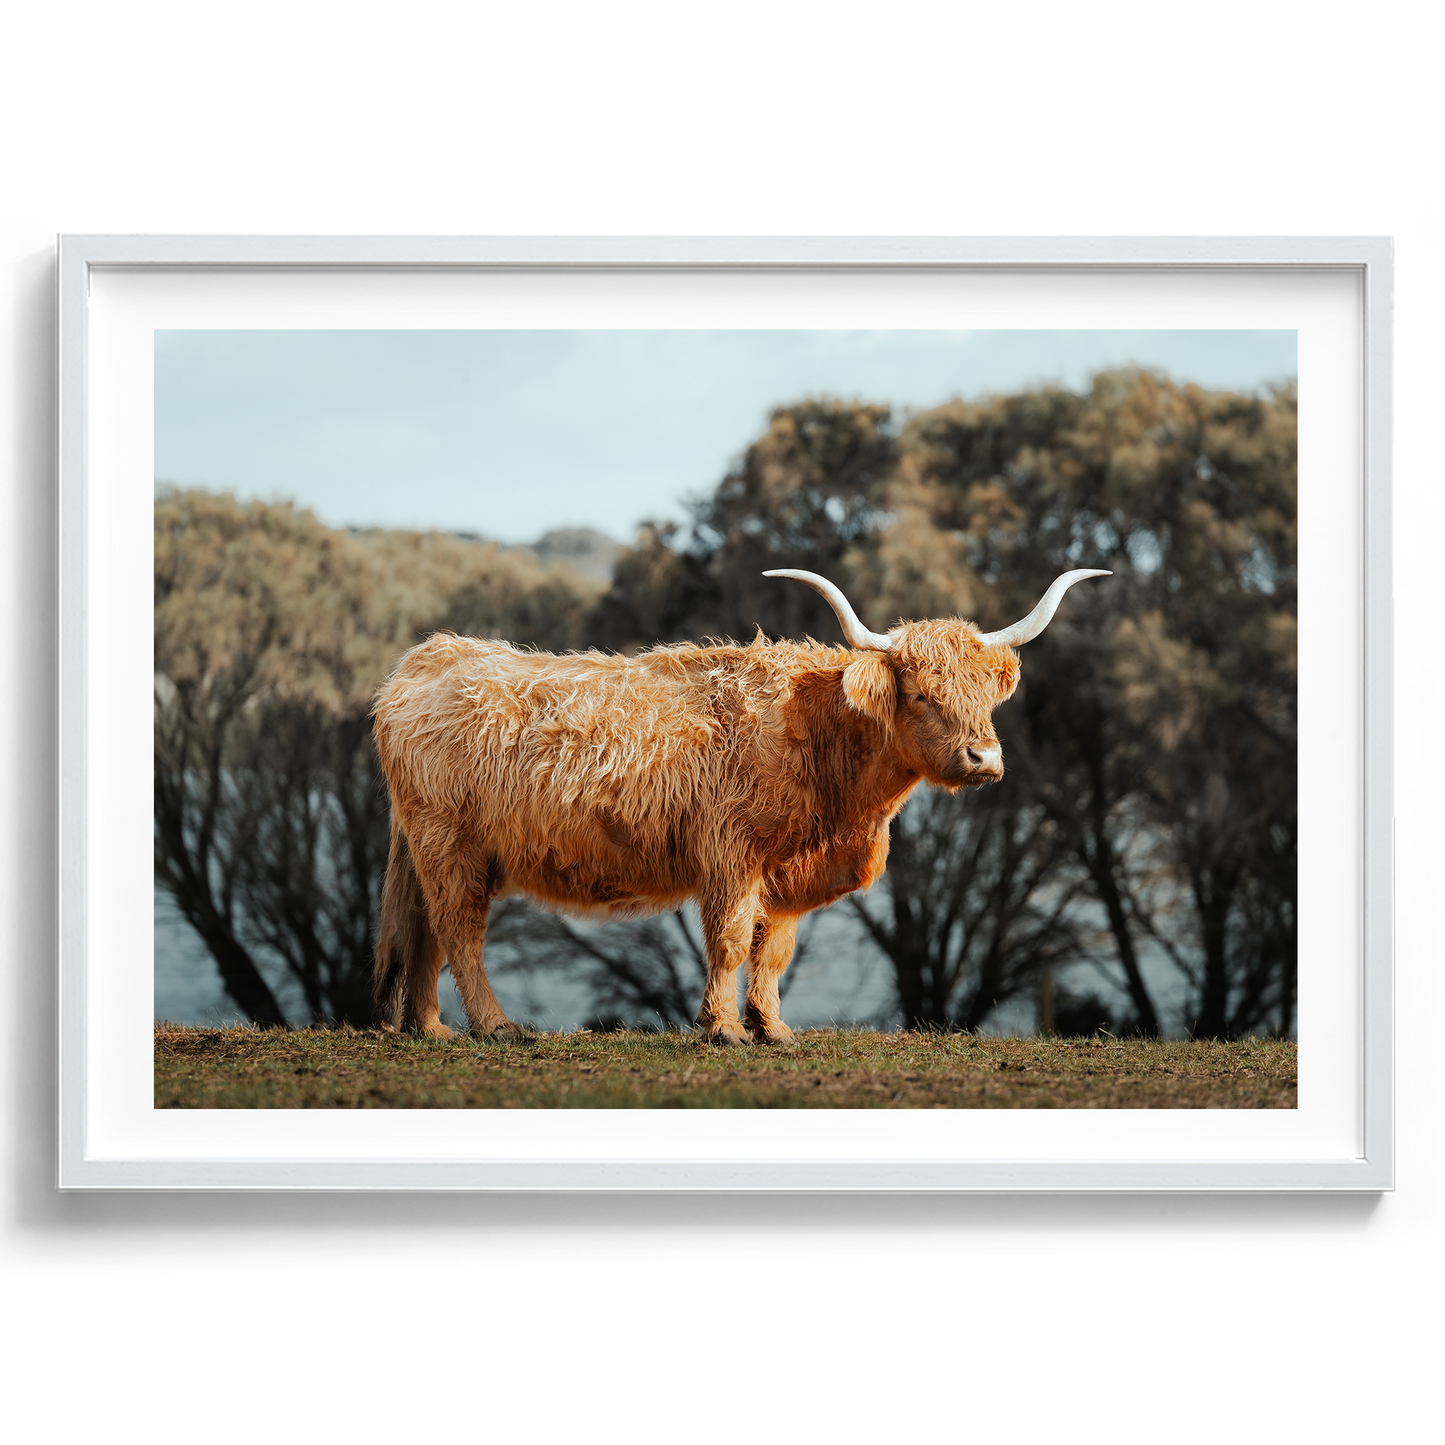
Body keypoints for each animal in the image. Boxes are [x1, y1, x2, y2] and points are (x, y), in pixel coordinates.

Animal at [371, 567, 1109, 1043]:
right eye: (923, 695)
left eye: (985, 694)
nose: (984, 759)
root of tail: (430, 656)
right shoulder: (730, 853)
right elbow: (728, 940)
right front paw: (722, 1028)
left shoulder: (784, 870)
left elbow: (772, 949)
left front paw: (773, 1028)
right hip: (451, 844)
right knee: (460, 931)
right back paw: (495, 1027)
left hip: (434, 850)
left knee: (426, 932)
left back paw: (431, 1029)